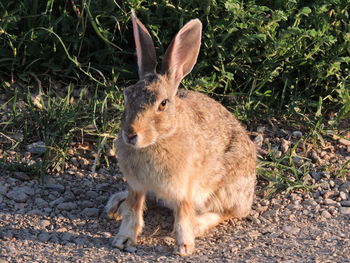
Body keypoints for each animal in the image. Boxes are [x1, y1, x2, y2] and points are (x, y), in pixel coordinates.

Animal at [105, 10, 256, 258]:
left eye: (163, 104)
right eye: (127, 95)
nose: (130, 134)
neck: (158, 140)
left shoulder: (184, 187)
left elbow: (183, 215)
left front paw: (184, 246)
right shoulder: (137, 185)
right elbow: (133, 211)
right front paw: (123, 239)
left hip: (227, 188)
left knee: (226, 212)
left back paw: (199, 225)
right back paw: (116, 204)